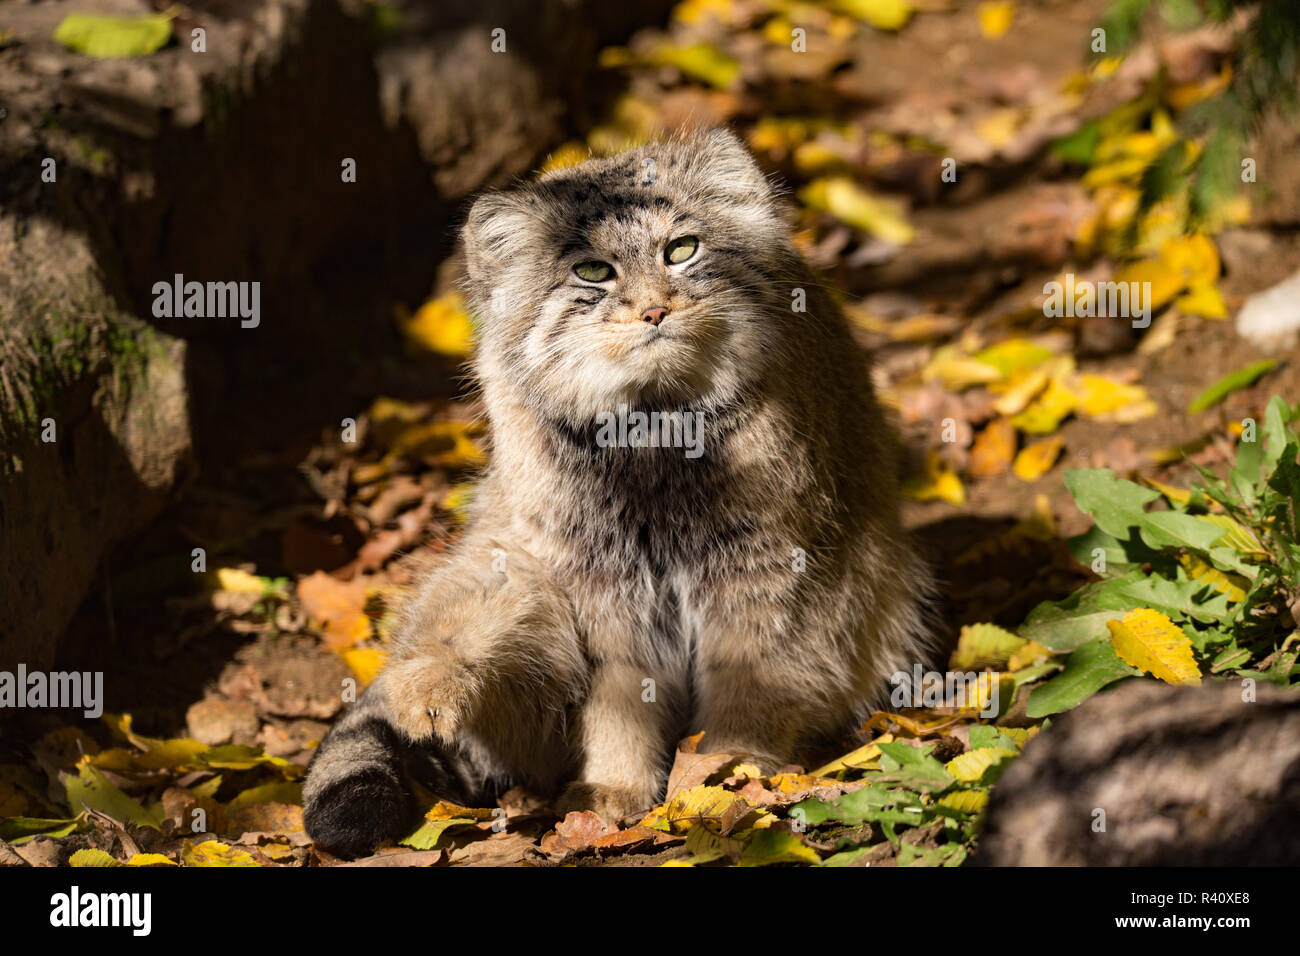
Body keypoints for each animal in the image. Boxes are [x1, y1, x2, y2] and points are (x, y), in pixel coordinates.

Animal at [304, 128, 935, 858]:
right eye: (593, 272)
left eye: (681, 250)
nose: (654, 309)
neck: (654, 438)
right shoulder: (602, 587)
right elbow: (618, 702)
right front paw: (617, 787)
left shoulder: (769, 572)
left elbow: (750, 684)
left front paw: (732, 774)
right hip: (514, 565)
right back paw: (434, 684)